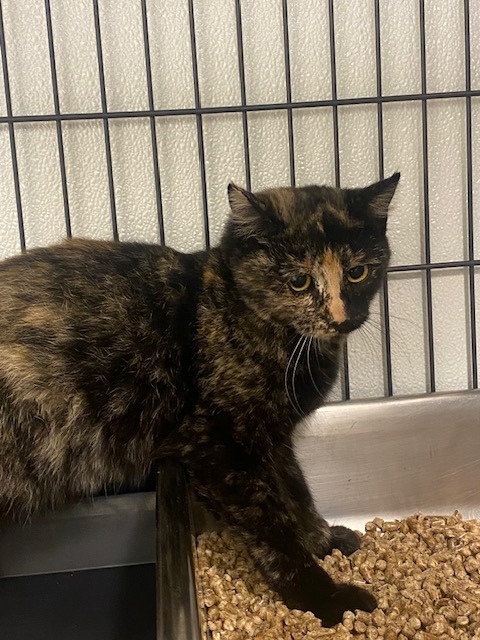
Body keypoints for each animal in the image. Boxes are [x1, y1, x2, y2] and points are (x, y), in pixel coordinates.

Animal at [0, 174, 398, 624]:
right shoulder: (215, 446)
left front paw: (323, 539)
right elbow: (271, 526)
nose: (342, 318)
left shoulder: (271, 438)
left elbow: (295, 491)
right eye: (299, 281)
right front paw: (325, 598)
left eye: (357, 272)